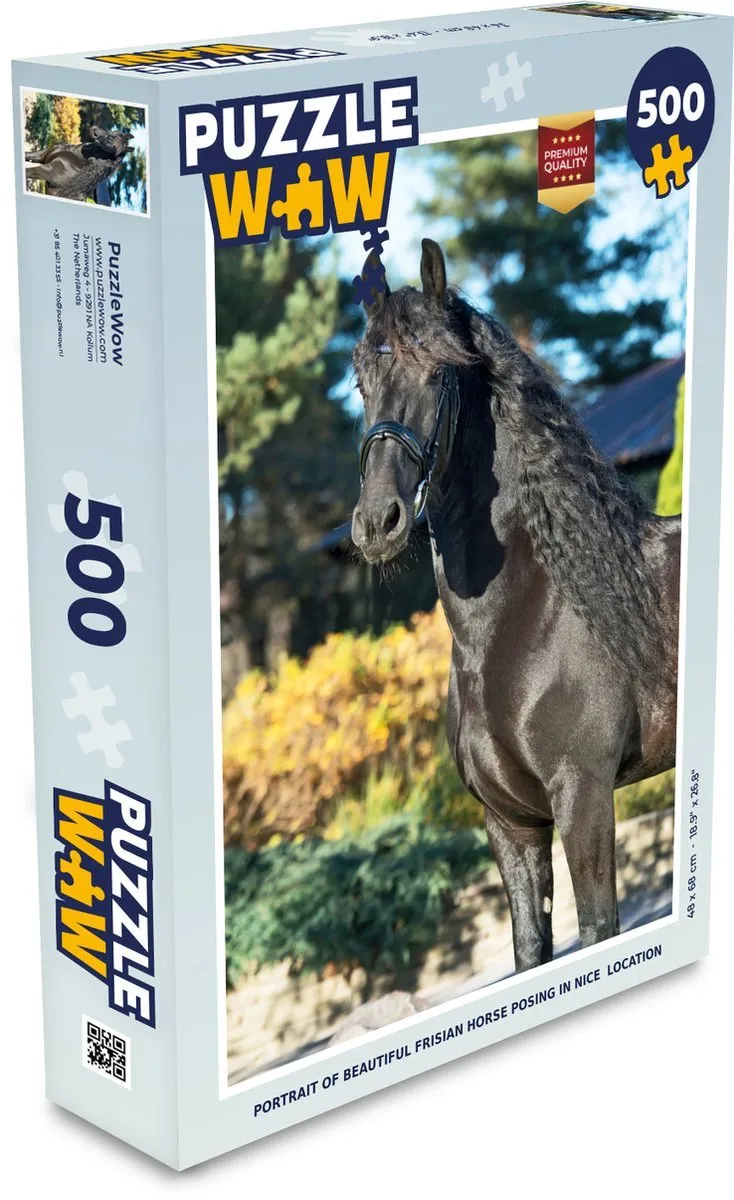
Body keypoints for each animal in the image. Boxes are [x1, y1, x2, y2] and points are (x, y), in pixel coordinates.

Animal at [351, 239, 680, 974]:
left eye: (438, 373)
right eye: (360, 382)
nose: (378, 522)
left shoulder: (583, 797)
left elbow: (598, 930)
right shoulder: (511, 823)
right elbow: (531, 951)